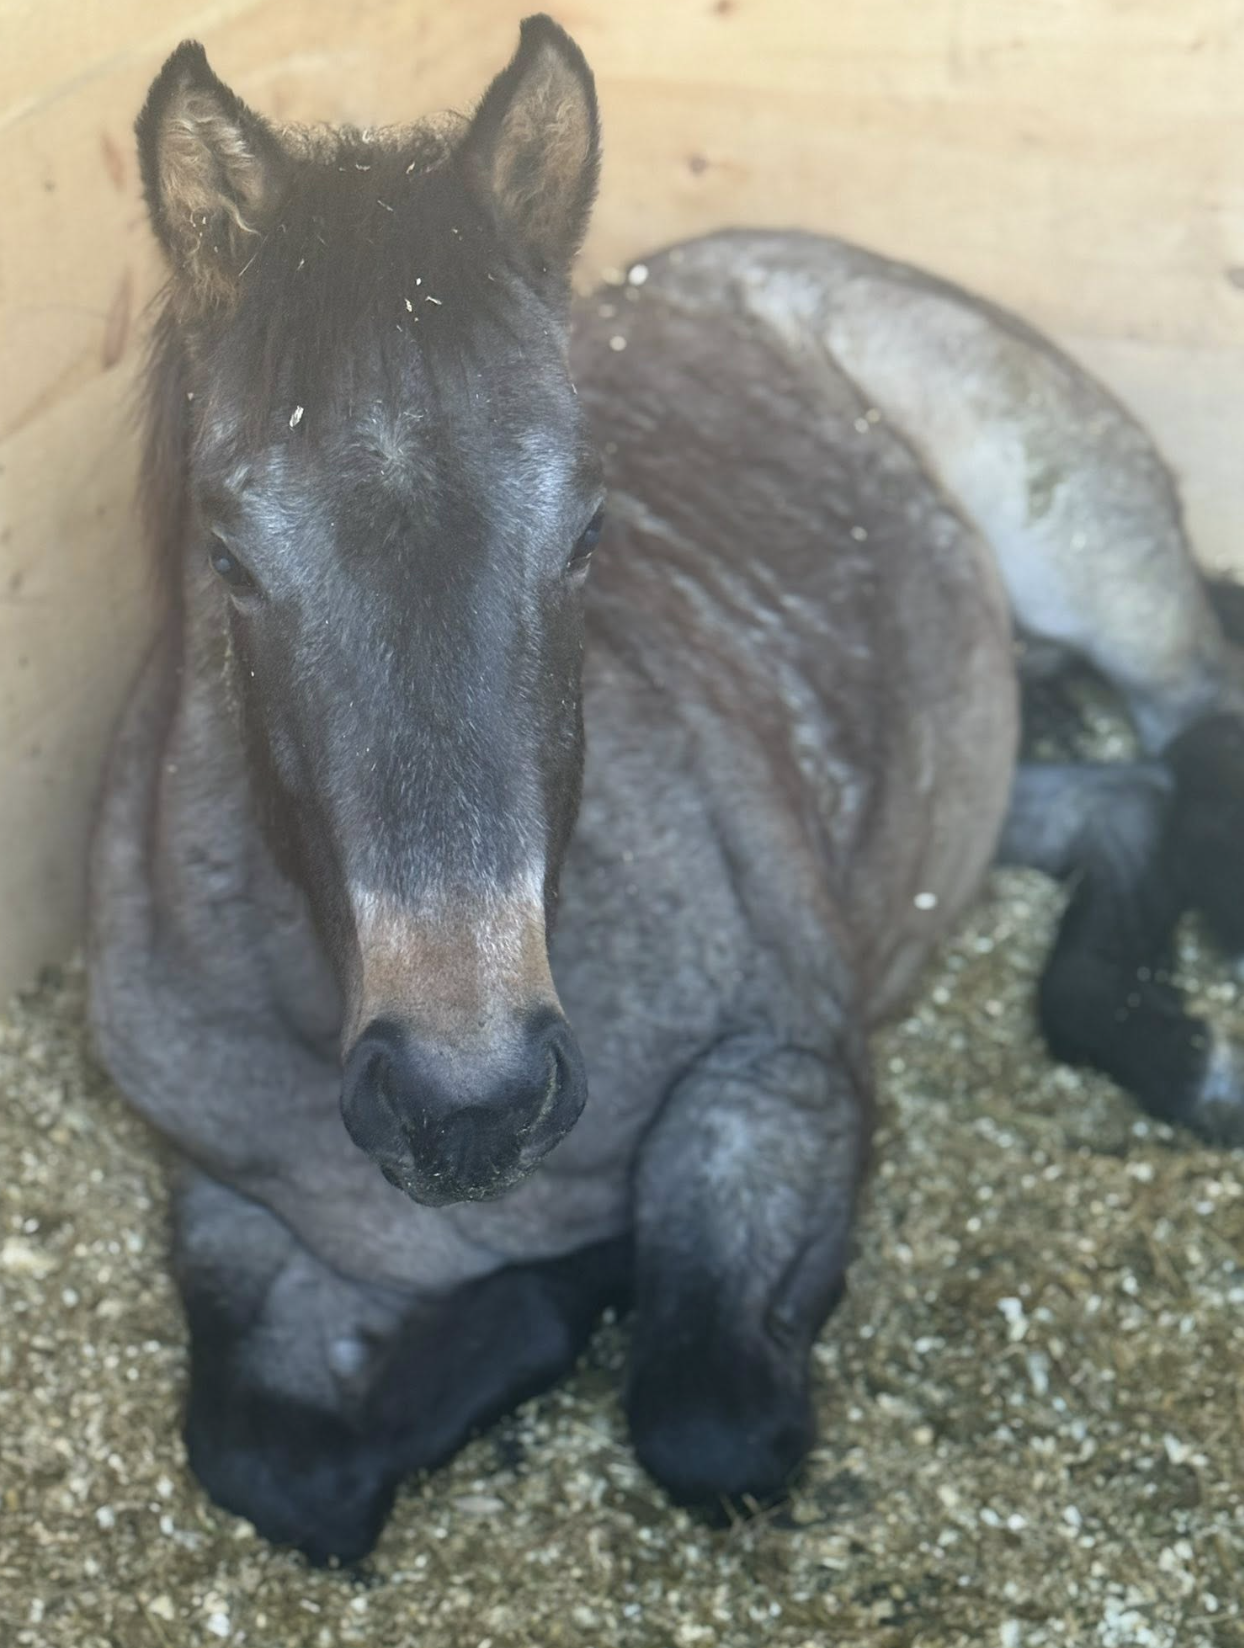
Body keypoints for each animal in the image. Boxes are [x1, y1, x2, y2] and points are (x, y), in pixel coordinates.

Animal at [88, 16, 1244, 1564]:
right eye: (227, 553)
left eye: (587, 529)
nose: (469, 1099)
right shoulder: (227, 1204)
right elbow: (271, 1461)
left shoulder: (783, 1074)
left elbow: (706, 1416)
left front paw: (586, 1277)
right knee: (1114, 803)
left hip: (1093, 566)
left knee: (1197, 723)